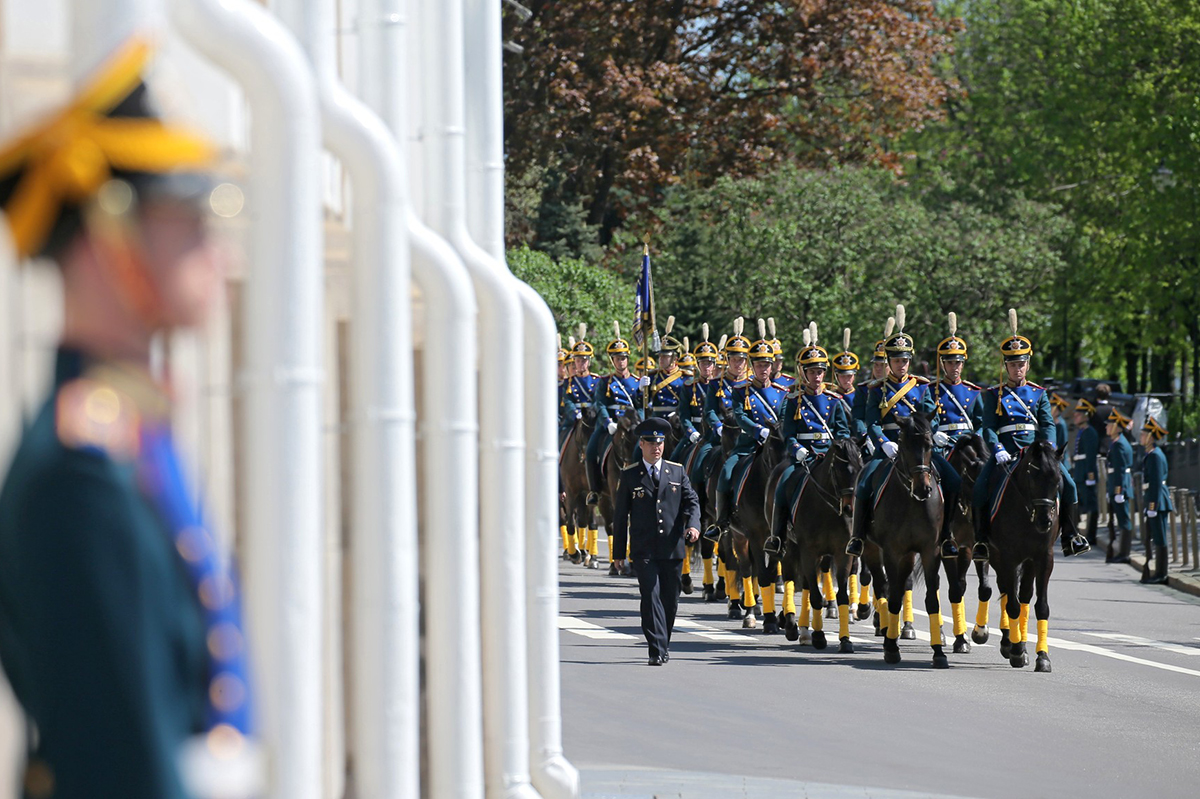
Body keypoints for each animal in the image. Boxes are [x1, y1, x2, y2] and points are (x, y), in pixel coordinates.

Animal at [777, 439, 864, 652]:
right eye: (839, 470)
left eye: (860, 469)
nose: (850, 508)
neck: (827, 509)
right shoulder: (809, 551)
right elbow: (815, 597)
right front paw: (818, 636)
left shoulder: (842, 553)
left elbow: (842, 596)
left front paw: (845, 640)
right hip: (790, 548)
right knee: (790, 578)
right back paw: (790, 623)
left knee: (806, 583)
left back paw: (800, 627)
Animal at [859, 410, 950, 667]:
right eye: (903, 444)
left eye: (929, 445)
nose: (923, 489)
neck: (912, 502)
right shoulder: (892, 551)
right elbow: (893, 596)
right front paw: (891, 648)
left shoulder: (930, 551)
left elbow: (932, 599)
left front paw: (938, 652)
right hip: (871, 548)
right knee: (882, 585)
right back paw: (883, 628)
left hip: (909, 555)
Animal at [940, 431, 998, 652]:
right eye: (980, 486)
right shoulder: (945, 549)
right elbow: (954, 590)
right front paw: (960, 639)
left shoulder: (978, 548)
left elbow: (985, 588)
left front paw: (979, 632)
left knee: (962, 582)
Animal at [984, 439, 1060, 667]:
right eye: (1033, 478)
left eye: (1058, 481)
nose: (1045, 521)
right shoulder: (1008, 557)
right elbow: (1013, 605)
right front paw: (1016, 650)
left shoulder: (1044, 557)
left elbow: (1041, 606)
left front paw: (1042, 656)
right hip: (995, 556)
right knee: (1006, 592)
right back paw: (1010, 643)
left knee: (1023, 594)